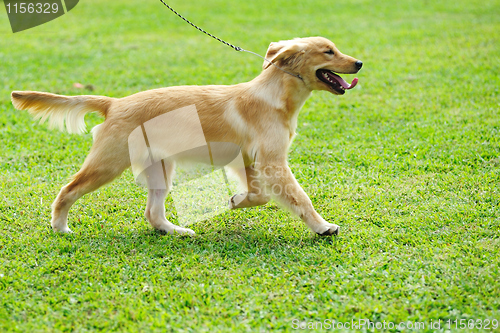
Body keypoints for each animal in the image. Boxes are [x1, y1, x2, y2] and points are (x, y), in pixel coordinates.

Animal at [9, 37, 362, 236]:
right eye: (329, 52)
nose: (359, 62)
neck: (275, 95)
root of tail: (115, 103)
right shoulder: (272, 163)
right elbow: (300, 198)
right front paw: (323, 227)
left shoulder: (249, 162)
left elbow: (259, 195)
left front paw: (236, 201)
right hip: (108, 163)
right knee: (67, 190)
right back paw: (60, 226)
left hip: (160, 169)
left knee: (153, 213)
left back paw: (174, 231)